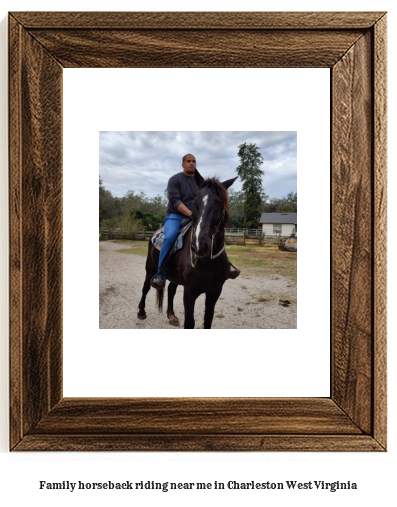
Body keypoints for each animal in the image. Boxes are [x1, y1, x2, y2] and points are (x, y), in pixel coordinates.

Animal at [137, 178, 235, 330]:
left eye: (219, 203)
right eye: (195, 203)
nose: (199, 246)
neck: (208, 262)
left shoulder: (214, 292)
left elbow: (208, 320)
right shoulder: (189, 292)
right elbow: (189, 322)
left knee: (171, 290)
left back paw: (171, 315)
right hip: (150, 269)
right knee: (146, 287)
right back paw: (141, 312)